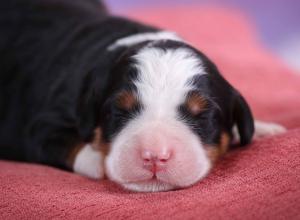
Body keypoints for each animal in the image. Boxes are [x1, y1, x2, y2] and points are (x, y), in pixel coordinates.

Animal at [0, 0, 286, 192]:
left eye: (202, 116)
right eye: (119, 112)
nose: (155, 156)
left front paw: (263, 128)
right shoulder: (43, 123)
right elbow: (69, 146)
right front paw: (99, 161)